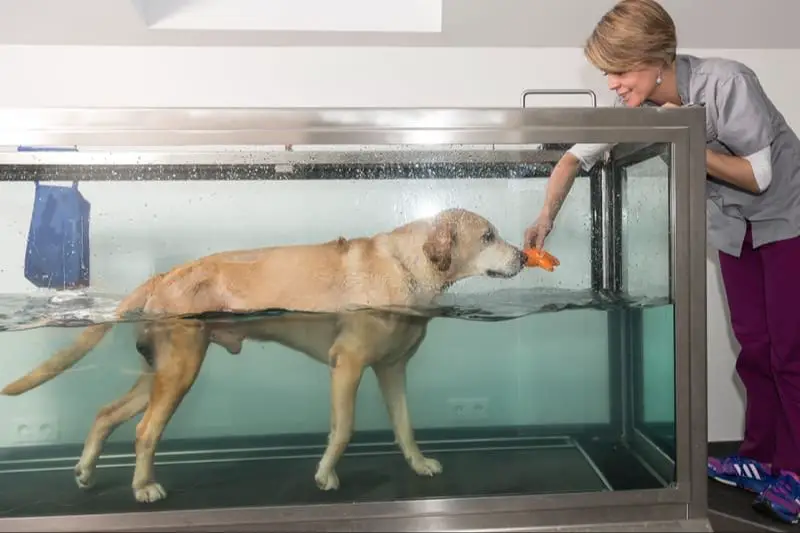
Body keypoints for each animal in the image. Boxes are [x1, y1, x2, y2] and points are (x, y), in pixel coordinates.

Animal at [1, 208, 532, 502]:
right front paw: (325, 475)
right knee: (144, 431)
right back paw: (142, 487)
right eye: (488, 236)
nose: (526, 256)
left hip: (159, 373)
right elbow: (344, 429)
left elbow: (405, 428)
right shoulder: (347, 365)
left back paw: (86, 472)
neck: (407, 265)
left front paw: (419, 466)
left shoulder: (391, 370)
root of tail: (165, 273)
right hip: (181, 371)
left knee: (106, 414)